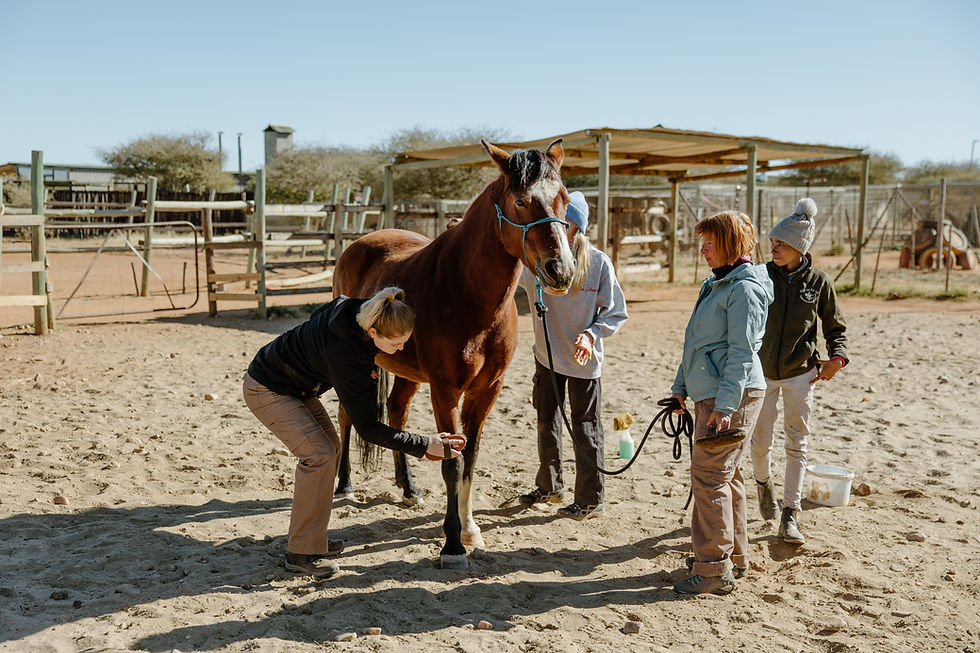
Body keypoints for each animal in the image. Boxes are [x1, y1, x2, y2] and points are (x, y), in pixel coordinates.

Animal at [332, 139, 575, 569]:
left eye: (564, 198)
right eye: (521, 201)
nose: (560, 270)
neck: (468, 295)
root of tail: (359, 245)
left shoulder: (487, 390)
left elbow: (470, 460)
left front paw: (470, 529)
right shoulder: (445, 390)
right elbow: (451, 461)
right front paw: (452, 545)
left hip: (406, 372)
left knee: (396, 413)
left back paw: (408, 489)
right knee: (347, 417)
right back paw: (344, 484)